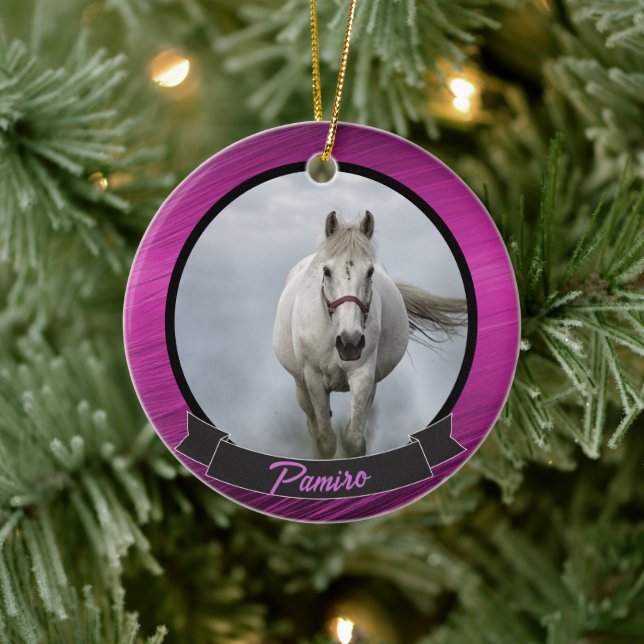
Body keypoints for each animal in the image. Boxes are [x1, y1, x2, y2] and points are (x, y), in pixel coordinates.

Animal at [272, 211, 467, 458]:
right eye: (326, 271)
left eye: (370, 271)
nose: (350, 342)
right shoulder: (313, 378)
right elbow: (325, 441)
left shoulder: (363, 375)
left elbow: (354, 440)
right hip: (301, 386)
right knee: (313, 427)